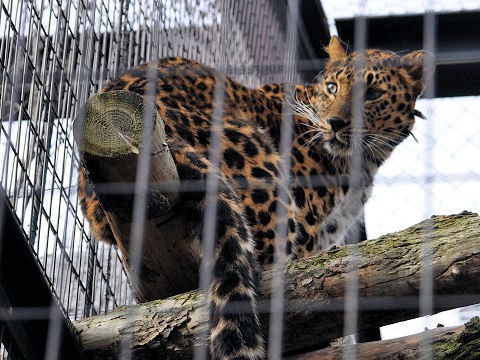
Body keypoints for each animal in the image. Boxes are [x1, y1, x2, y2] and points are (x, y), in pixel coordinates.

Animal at [78, 35, 432, 358]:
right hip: (267, 190)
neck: (364, 162)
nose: (335, 123)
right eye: (332, 87)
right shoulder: (306, 230)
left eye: (373, 94)